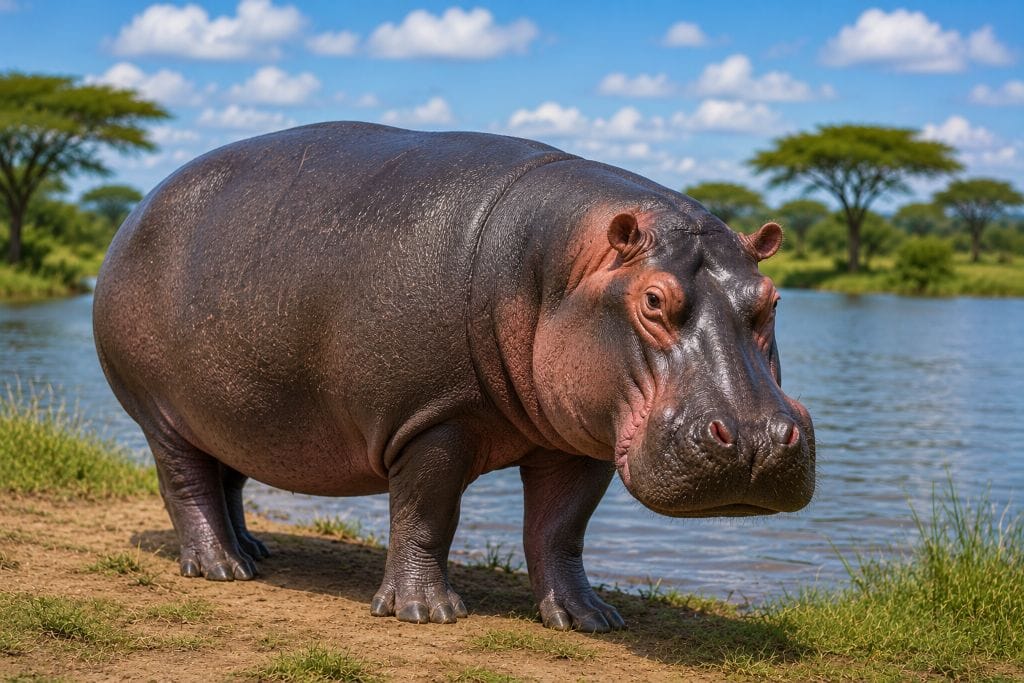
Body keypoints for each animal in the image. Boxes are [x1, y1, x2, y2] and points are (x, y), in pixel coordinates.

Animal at [93, 122, 814, 632]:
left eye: (773, 298)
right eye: (654, 300)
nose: (755, 439)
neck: (557, 269)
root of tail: (135, 211)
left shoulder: (581, 440)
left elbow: (561, 529)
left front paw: (588, 619)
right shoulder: (433, 419)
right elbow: (426, 513)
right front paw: (426, 612)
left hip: (234, 409)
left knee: (230, 475)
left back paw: (253, 549)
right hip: (161, 411)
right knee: (186, 481)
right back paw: (221, 569)